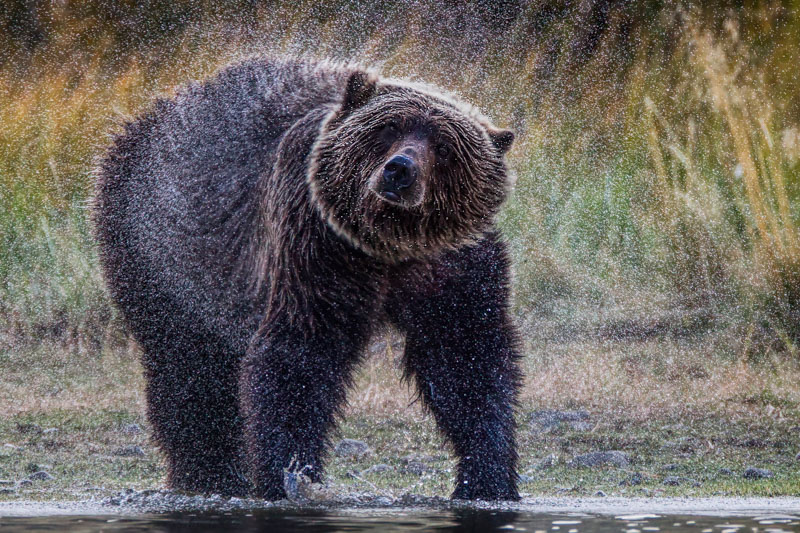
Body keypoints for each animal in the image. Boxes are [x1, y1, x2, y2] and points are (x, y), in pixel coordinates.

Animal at [92, 57, 522, 501]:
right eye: (388, 128)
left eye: (444, 147)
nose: (400, 170)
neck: (388, 248)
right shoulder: (316, 246)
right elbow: (301, 354)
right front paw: (290, 473)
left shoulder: (453, 265)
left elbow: (465, 357)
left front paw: (487, 477)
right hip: (160, 252)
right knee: (187, 365)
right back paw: (209, 472)